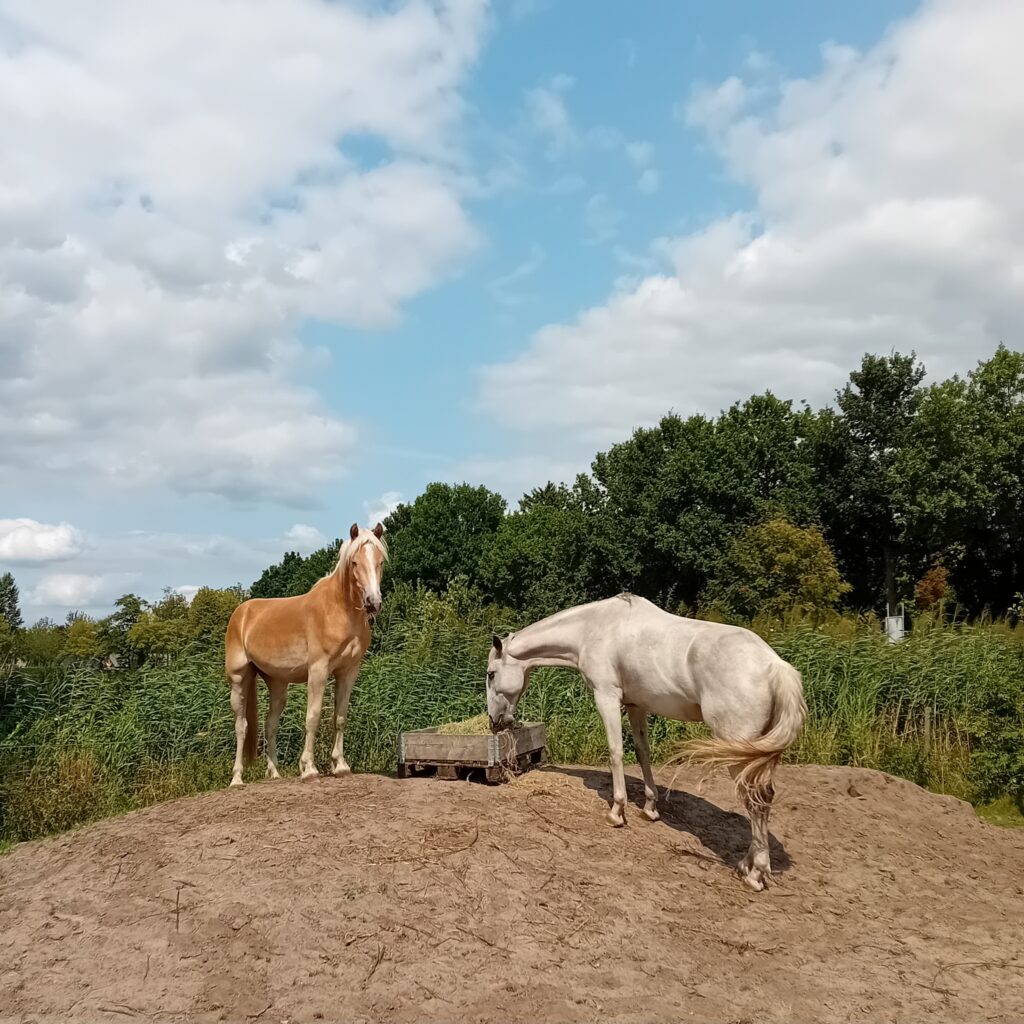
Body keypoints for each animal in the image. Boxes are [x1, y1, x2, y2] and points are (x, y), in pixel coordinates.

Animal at [224, 522, 387, 788]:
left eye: (380, 561)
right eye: (354, 562)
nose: (373, 602)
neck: (339, 611)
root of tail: (241, 612)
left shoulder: (348, 671)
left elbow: (340, 717)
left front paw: (341, 765)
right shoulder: (318, 670)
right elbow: (313, 716)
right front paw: (308, 768)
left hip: (277, 683)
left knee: (270, 725)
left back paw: (274, 773)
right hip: (239, 680)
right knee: (241, 726)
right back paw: (237, 778)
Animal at [485, 593, 807, 891]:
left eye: (490, 674)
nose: (494, 721)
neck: (592, 628)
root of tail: (775, 666)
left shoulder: (607, 697)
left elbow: (616, 752)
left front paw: (617, 812)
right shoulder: (636, 705)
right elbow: (642, 753)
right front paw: (650, 808)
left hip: (738, 750)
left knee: (756, 800)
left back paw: (755, 874)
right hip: (757, 754)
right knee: (762, 798)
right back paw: (747, 865)